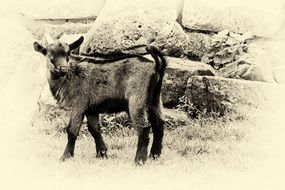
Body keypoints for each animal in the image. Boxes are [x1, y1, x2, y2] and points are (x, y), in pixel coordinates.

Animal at [33, 36, 166, 164]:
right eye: (50, 56)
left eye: (68, 55)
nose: (63, 69)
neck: (68, 79)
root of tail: (157, 66)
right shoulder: (91, 109)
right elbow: (95, 130)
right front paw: (102, 154)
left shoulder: (78, 106)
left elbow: (72, 131)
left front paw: (65, 157)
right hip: (154, 99)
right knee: (159, 123)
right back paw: (155, 155)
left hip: (136, 99)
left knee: (144, 127)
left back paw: (139, 160)